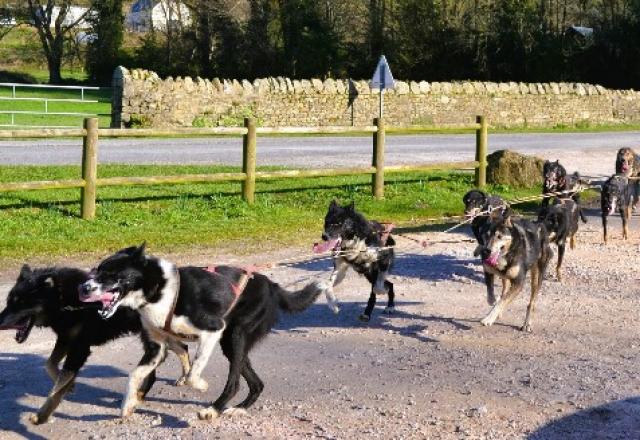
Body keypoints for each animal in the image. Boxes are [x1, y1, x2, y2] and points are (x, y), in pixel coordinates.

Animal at [79, 246, 328, 422]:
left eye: (110, 274)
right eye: (96, 270)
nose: (83, 288)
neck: (158, 289)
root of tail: (271, 285)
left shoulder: (212, 329)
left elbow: (193, 371)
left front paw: (200, 385)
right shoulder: (156, 347)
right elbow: (135, 375)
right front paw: (127, 404)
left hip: (234, 337)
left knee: (234, 383)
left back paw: (213, 410)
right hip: (233, 345)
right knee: (256, 383)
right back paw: (238, 409)